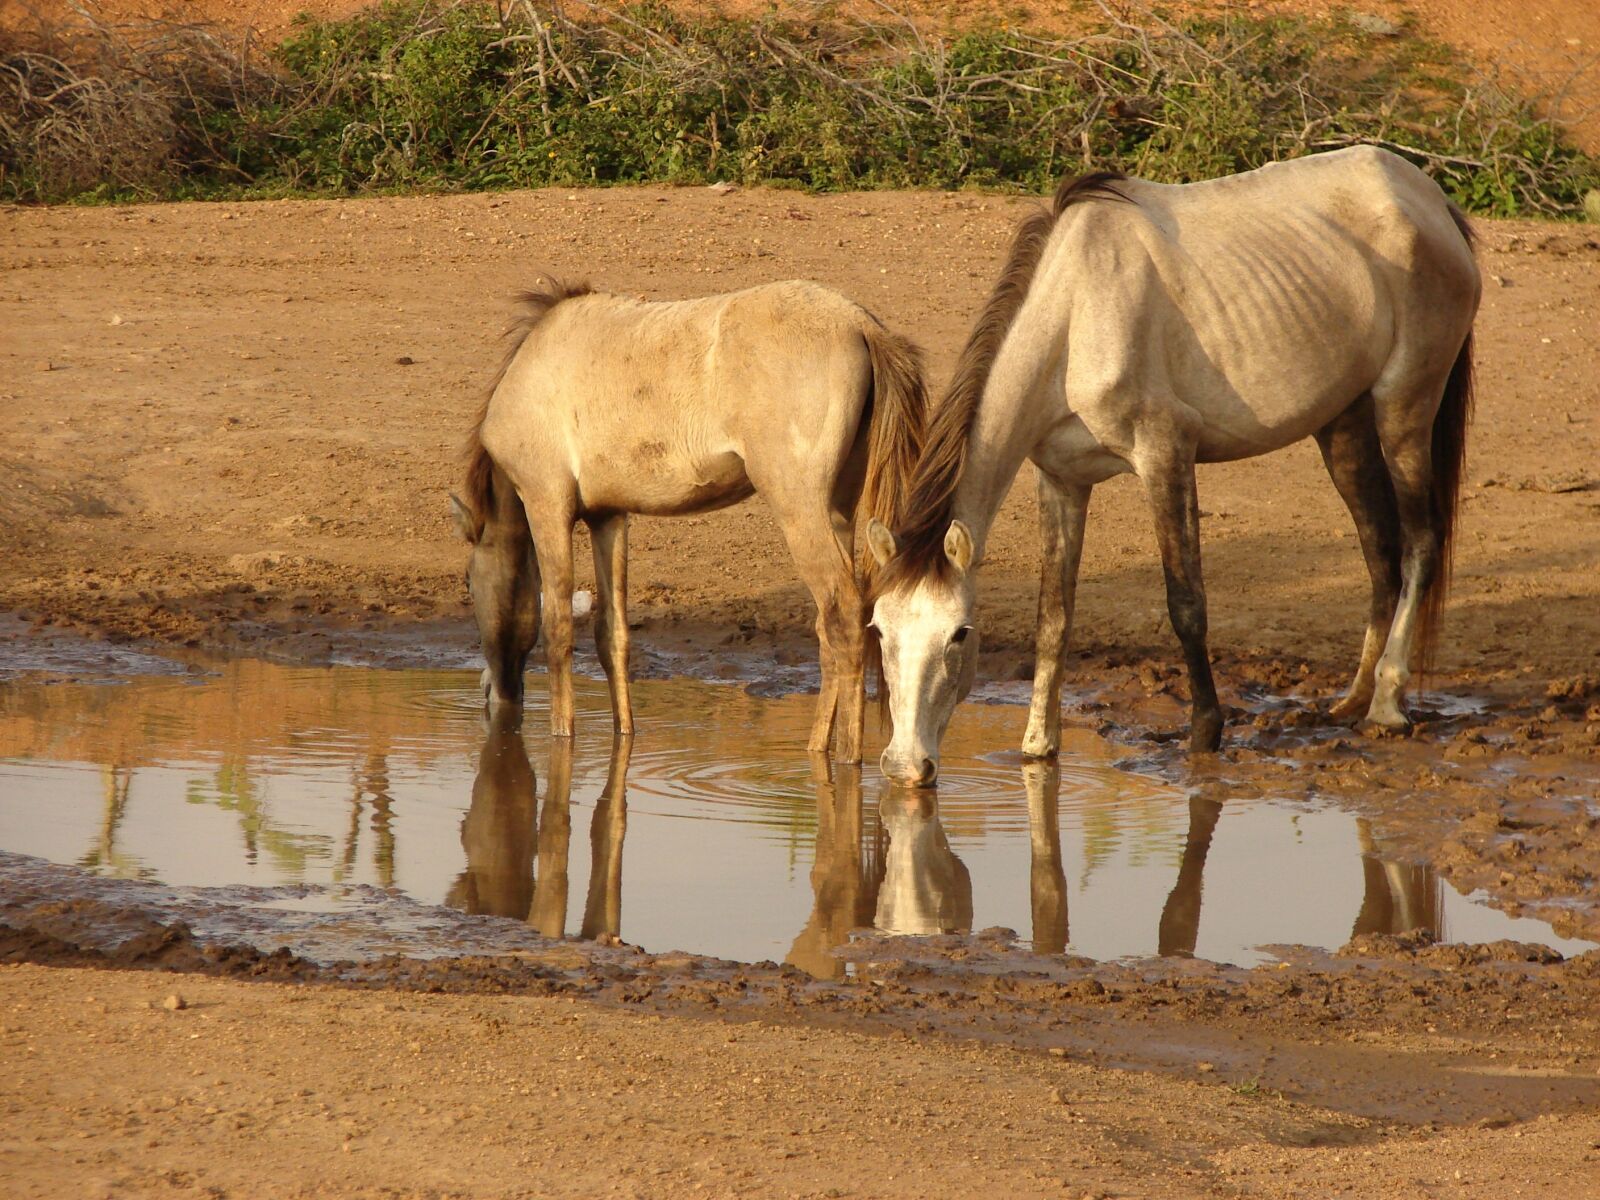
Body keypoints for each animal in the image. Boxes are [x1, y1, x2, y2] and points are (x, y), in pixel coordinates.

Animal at [451, 281, 928, 761]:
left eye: (469, 583)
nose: (493, 692)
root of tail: (859, 323)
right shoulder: (609, 517)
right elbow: (612, 635)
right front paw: (624, 734)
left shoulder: (547, 504)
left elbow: (558, 629)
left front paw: (561, 736)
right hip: (837, 509)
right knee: (830, 626)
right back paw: (817, 748)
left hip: (799, 508)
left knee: (843, 615)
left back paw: (848, 757)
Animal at [870, 148, 1478, 790]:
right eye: (879, 629)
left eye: (960, 634)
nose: (905, 767)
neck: (1075, 314)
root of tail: (1429, 200)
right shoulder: (1062, 481)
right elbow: (1054, 616)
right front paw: (1037, 747)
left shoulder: (1165, 454)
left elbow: (1186, 604)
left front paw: (1205, 732)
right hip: (1343, 425)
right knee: (1380, 549)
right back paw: (1352, 700)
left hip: (1404, 408)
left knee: (1421, 542)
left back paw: (1386, 704)